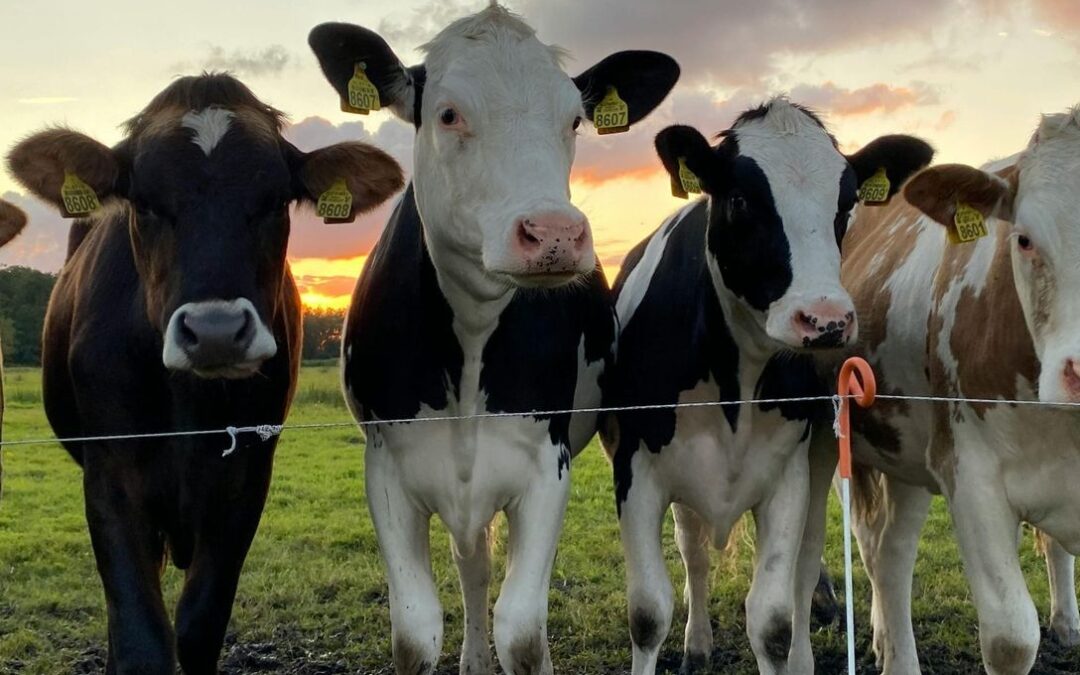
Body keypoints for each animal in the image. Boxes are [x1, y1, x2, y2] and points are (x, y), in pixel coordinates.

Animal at [6, 75, 403, 673]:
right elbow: (140, 635)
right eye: (144, 203)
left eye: (275, 200)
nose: (215, 330)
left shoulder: (244, 480)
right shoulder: (110, 477)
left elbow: (198, 626)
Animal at [306, 5, 673, 673]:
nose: (553, 234)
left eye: (574, 118)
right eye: (449, 113)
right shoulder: (388, 470)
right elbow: (415, 633)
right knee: (472, 564)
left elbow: (523, 631)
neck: (472, 338)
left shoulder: (546, 466)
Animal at [600, 99, 928, 673]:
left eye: (845, 204)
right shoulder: (636, 470)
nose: (826, 320)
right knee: (694, 552)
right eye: (739, 199)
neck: (738, 385)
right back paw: (698, 643)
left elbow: (773, 623)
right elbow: (647, 614)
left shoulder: (787, 476)